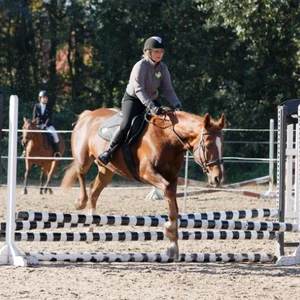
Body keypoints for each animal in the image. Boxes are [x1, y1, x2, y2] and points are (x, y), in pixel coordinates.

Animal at [61, 109, 225, 258]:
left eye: (223, 145)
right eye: (208, 146)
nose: (218, 178)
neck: (168, 139)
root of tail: (87, 114)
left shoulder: (172, 178)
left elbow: (173, 202)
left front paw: (173, 244)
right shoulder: (147, 173)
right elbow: (167, 190)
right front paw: (170, 231)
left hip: (106, 169)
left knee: (94, 191)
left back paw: (90, 231)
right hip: (84, 159)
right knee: (80, 173)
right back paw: (80, 202)